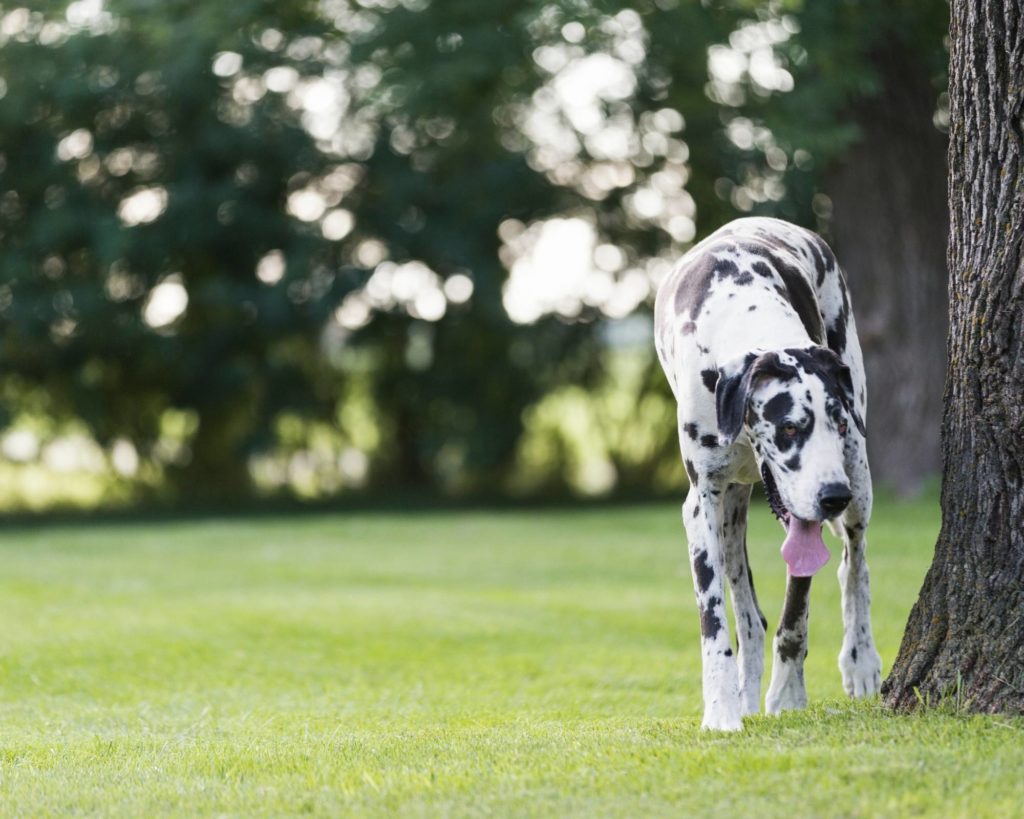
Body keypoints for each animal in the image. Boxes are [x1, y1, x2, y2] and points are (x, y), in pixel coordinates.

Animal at [655, 216, 880, 728]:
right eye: (790, 426)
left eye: (837, 423)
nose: (832, 497)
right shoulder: (701, 505)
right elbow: (715, 623)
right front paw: (721, 710)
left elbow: (795, 616)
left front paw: (789, 693)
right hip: (730, 516)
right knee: (749, 616)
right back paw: (742, 691)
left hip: (859, 475)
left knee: (854, 563)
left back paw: (860, 660)